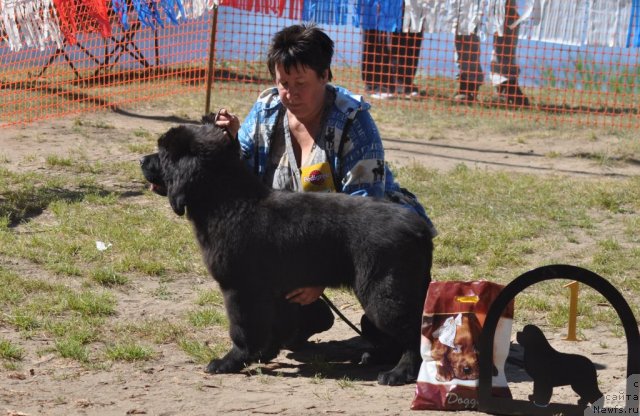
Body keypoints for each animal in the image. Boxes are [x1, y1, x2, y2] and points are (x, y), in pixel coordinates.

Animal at [141, 122, 436, 386]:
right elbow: (273, 326)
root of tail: (419, 229)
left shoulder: (239, 289)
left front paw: (230, 362)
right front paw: (263, 354)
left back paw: (399, 373)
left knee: (413, 333)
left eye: (164, 154)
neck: (226, 201)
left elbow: (242, 329)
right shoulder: (273, 290)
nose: (142, 159)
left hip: (385, 294)